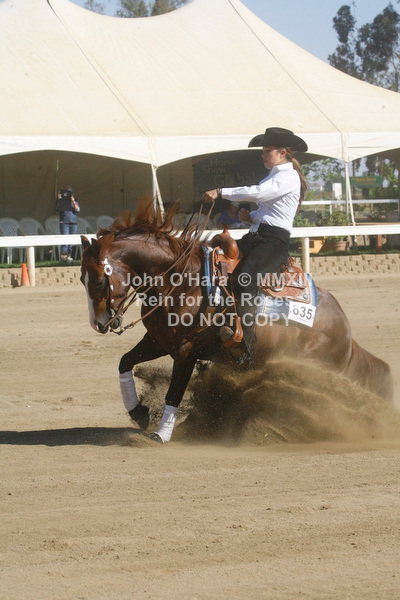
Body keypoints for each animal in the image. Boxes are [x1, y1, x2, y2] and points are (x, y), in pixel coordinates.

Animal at [80, 202, 393, 443]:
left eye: (98, 280)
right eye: (82, 279)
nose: (99, 323)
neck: (180, 280)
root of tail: (348, 337)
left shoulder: (186, 349)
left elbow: (174, 391)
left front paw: (161, 434)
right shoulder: (158, 341)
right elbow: (124, 362)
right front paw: (138, 412)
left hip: (307, 367)